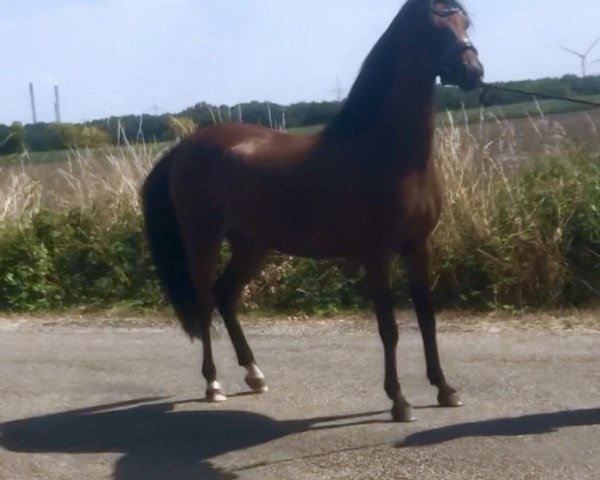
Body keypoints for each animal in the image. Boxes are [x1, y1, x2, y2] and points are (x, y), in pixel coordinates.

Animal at [143, 0, 486, 420]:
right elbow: (388, 327)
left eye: (464, 21)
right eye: (431, 27)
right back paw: (213, 384)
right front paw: (399, 400)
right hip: (202, 241)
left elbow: (427, 319)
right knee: (206, 302)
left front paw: (444, 389)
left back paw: (255, 375)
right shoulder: (376, 254)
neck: (389, 153)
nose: (473, 71)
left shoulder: (418, 245)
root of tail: (183, 148)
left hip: (252, 244)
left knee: (226, 295)